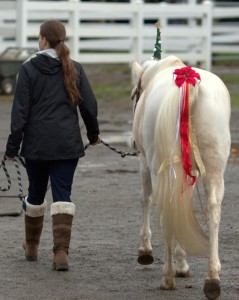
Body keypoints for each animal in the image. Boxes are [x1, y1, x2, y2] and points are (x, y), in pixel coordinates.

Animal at [132, 55, 231, 298]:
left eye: (134, 94)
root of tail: (188, 81)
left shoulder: (145, 163)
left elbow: (146, 199)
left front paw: (147, 251)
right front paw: (183, 264)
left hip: (160, 168)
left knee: (166, 210)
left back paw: (167, 276)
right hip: (214, 169)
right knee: (213, 212)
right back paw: (212, 277)